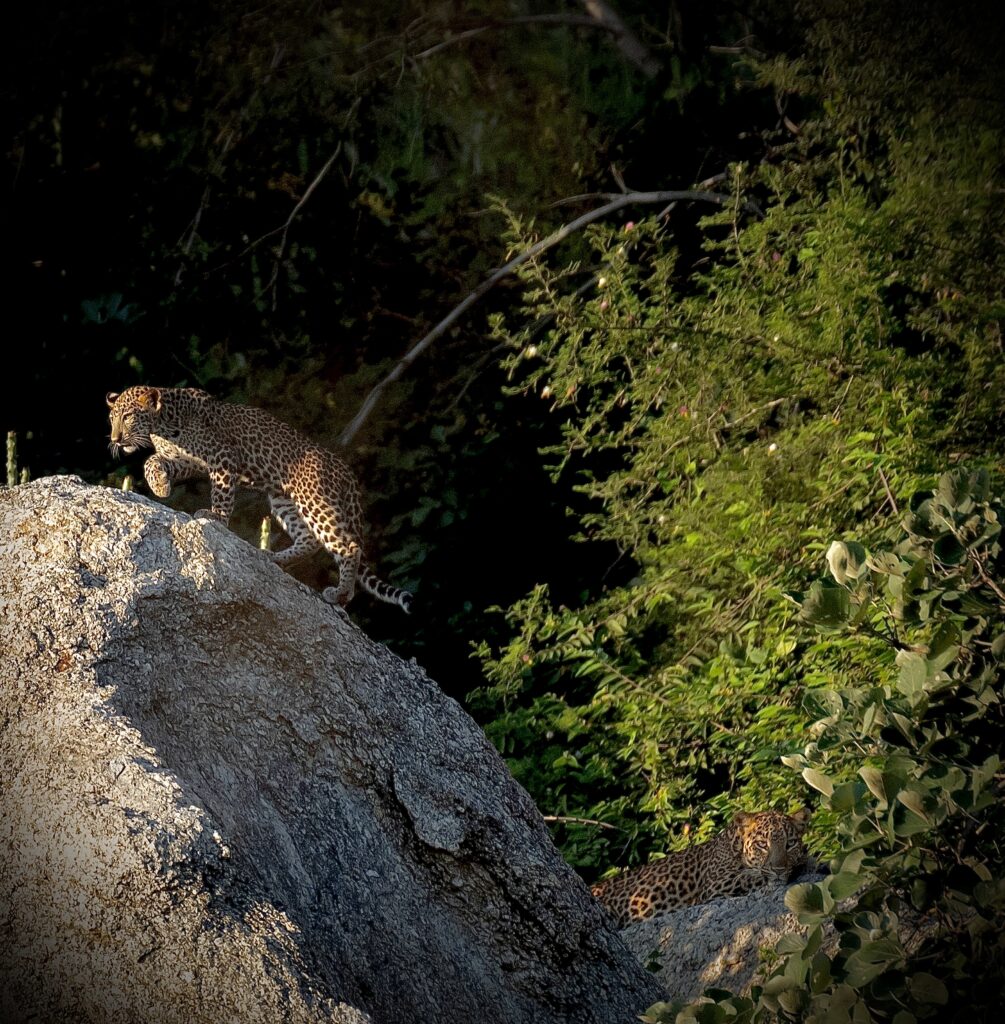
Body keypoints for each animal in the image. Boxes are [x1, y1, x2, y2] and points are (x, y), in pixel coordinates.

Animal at [107, 382, 411, 606]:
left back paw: (340, 594)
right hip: (284, 500)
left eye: (128, 416)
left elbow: (222, 494)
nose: (115, 440)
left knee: (348, 546)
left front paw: (215, 517)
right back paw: (273, 558)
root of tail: (346, 472)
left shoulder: (223, 458)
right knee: (310, 540)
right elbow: (151, 461)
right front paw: (160, 485)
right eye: (112, 419)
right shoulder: (187, 460)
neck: (163, 423)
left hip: (315, 501)